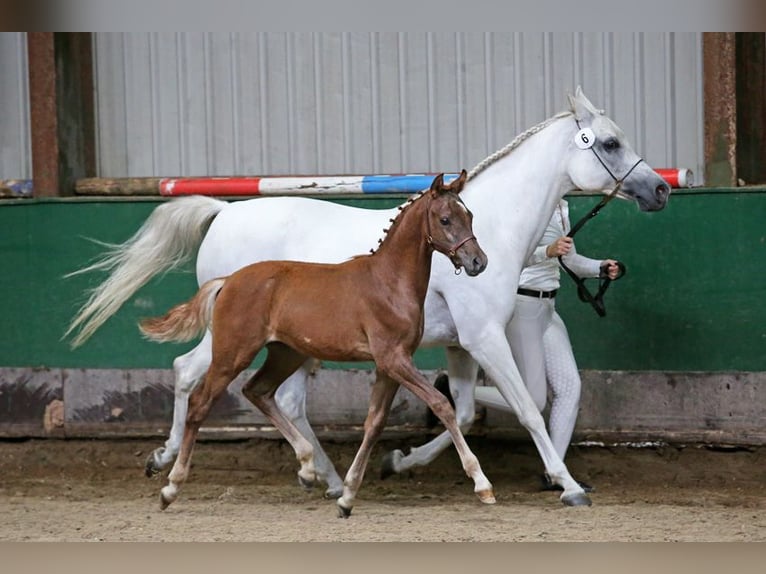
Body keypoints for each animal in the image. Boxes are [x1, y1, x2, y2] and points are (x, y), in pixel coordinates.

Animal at [140, 171, 496, 516]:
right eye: (445, 219)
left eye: (470, 215)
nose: (478, 262)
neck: (389, 282)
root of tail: (228, 281)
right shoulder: (394, 358)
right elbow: (441, 404)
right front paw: (482, 485)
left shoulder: (390, 364)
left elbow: (374, 422)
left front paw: (348, 497)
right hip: (232, 353)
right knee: (200, 402)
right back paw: (170, 487)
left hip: (285, 354)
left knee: (258, 391)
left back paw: (308, 468)